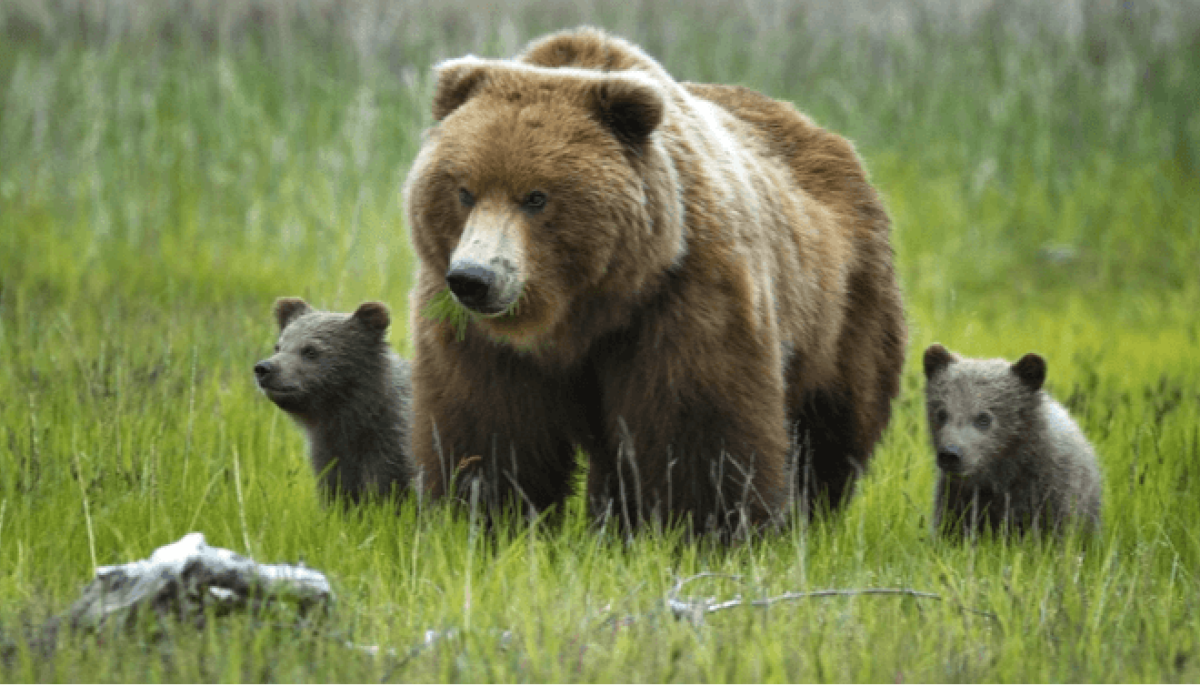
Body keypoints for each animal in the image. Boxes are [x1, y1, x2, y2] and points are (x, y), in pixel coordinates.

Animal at [398, 26, 902, 539]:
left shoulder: (683, 296)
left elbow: (698, 428)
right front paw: (486, 521)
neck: (581, 309)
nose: (474, 278)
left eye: (536, 197)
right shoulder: (479, 339)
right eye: (464, 191)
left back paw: (808, 517)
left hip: (842, 307)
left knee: (829, 428)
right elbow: (489, 428)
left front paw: (706, 529)